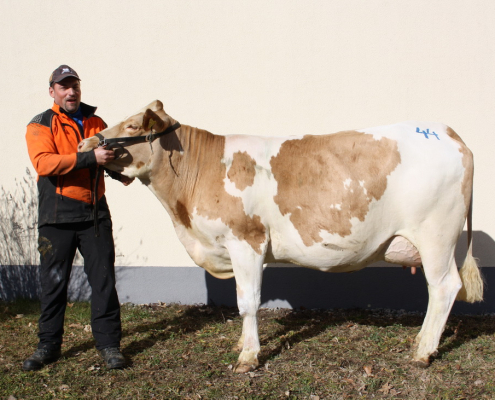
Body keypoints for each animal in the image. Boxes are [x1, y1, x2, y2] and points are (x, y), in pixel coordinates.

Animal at [78, 100, 484, 372]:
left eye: (133, 126)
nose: (86, 145)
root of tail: (447, 132)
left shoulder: (246, 241)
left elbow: (247, 302)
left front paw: (248, 356)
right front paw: (243, 344)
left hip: (435, 235)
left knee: (444, 287)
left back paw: (423, 351)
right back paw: (421, 340)